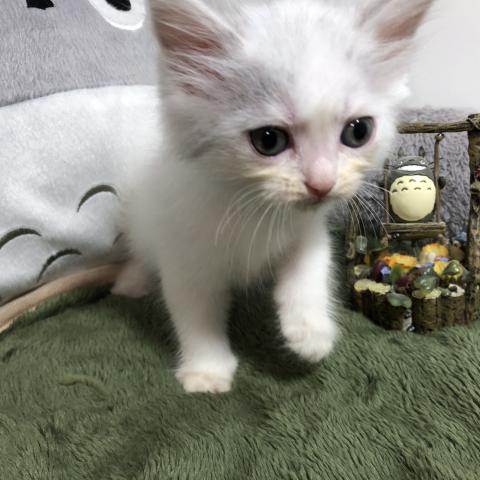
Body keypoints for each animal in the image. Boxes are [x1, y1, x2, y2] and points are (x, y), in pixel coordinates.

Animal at [113, 0, 435, 393]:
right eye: (269, 140)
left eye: (358, 131)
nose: (322, 183)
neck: (254, 207)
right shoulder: (185, 253)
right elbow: (195, 315)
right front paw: (206, 370)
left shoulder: (308, 229)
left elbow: (309, 270)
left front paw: (311, 332)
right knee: (142, 253)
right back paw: (132, 281)